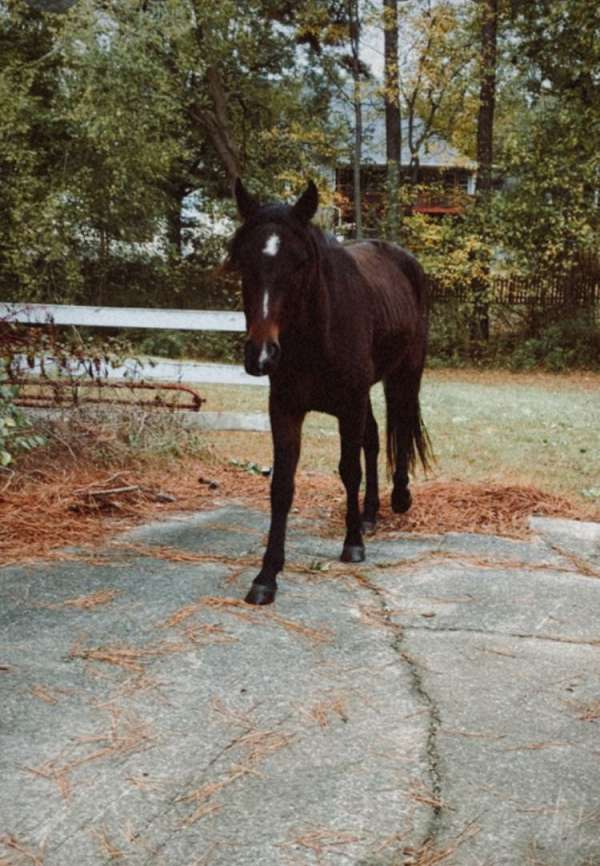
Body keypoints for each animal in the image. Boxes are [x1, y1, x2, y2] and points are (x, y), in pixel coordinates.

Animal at [228, 178, 432, 605]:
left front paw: (352, 543)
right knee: (375, 439)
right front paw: (266, 575)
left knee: (401, 426)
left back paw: (398, 498)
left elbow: (349, 469)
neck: (315, 336)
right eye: (244, 261)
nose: (261, 354)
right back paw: (370, 513)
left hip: (404, 374)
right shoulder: (285, 409)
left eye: (300, 262)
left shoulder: (350, 405)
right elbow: (282, 485)